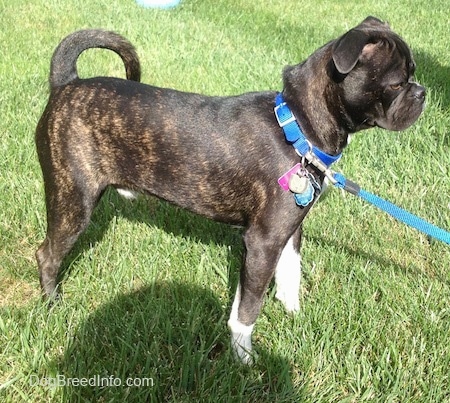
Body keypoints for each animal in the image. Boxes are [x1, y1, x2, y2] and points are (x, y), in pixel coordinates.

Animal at [36, 17, 426, 366]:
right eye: (396, 84)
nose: (423, 92)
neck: (297, 129)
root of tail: (67, 84)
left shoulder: (287, 231)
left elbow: (288, 275)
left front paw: (293, 315)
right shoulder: (262, 242)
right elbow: (248, 309)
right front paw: (244, 359)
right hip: (73, 201)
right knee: (47, 254)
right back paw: (53, 304)